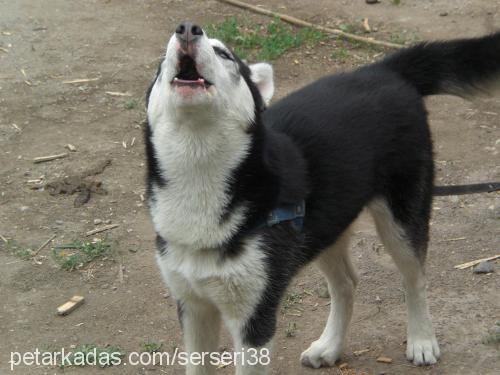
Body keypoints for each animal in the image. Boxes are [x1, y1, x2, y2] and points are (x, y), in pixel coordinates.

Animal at [144, 21, 500, 375]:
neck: (200, 177)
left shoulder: (255, 318)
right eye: (161, 63)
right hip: (325, 227)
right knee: (347, 284)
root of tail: (383, 70)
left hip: (401, 220)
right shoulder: (193, 308)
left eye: (223, 54)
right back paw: (329, 346)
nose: (187, 29)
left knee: (415, 278)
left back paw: (422, 340)